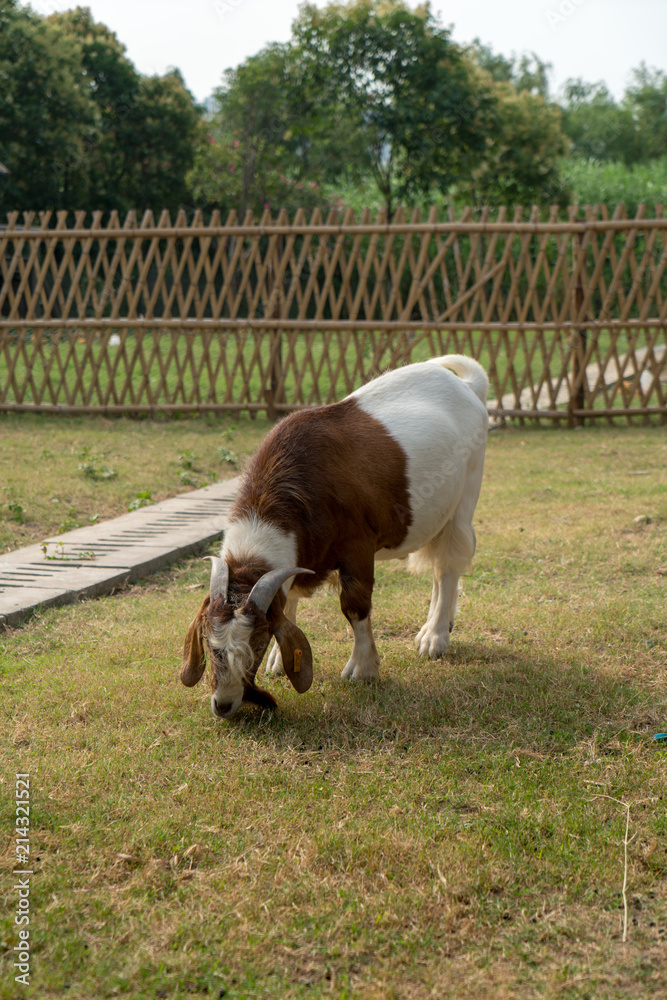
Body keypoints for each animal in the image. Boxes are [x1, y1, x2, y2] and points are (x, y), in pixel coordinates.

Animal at [180, 356, 488, 716]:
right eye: (208, 640)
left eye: (256, 643)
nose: (224, 704)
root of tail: (467, 385)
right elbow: (291, 597)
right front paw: (281, 661)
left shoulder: (358, 546)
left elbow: (354, 606)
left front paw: (363, 669)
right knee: (440, 568)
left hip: (466, 494)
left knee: (448, 564)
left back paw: (435, 638)